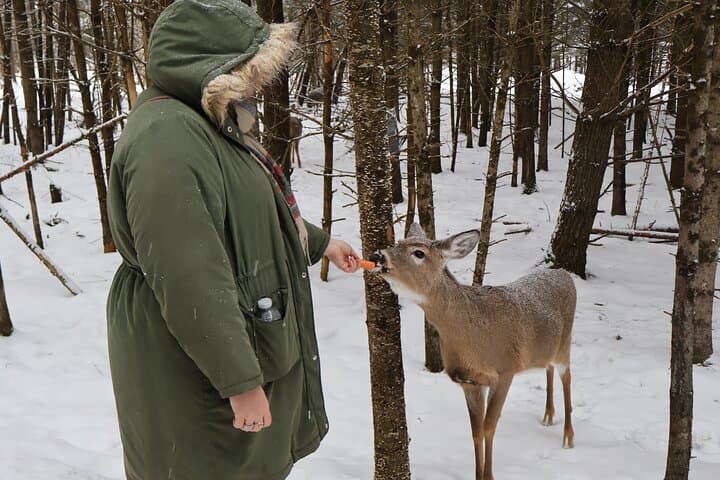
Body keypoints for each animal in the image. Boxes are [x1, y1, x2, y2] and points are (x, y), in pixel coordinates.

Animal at [370, 223, 576, 480]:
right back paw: (548, 416)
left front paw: (489, 476)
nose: (377, 256)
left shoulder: (505, 370)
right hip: (547, 348)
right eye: (397, 242)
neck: (472, 337)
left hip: (565, 344)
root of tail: (564, 274)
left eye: (419, 253)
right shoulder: (469, 382)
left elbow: (489, 427)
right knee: (547, 367)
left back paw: (568, 437)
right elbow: (476, 431)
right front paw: (478, 475)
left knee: (567, 377)